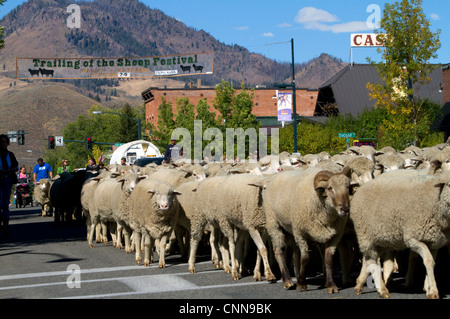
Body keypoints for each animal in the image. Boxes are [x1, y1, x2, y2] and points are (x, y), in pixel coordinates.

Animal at [262, 166, 354, 294]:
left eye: (348, 187)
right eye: (330, 188)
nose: (345, 210)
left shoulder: (335, 235)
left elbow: (329, 259)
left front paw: (331, 285)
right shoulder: (300, 233)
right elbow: (305, 258)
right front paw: (301, 284)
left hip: (287, 229)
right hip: (274, 224)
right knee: (279, 251)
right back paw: (287, 281)